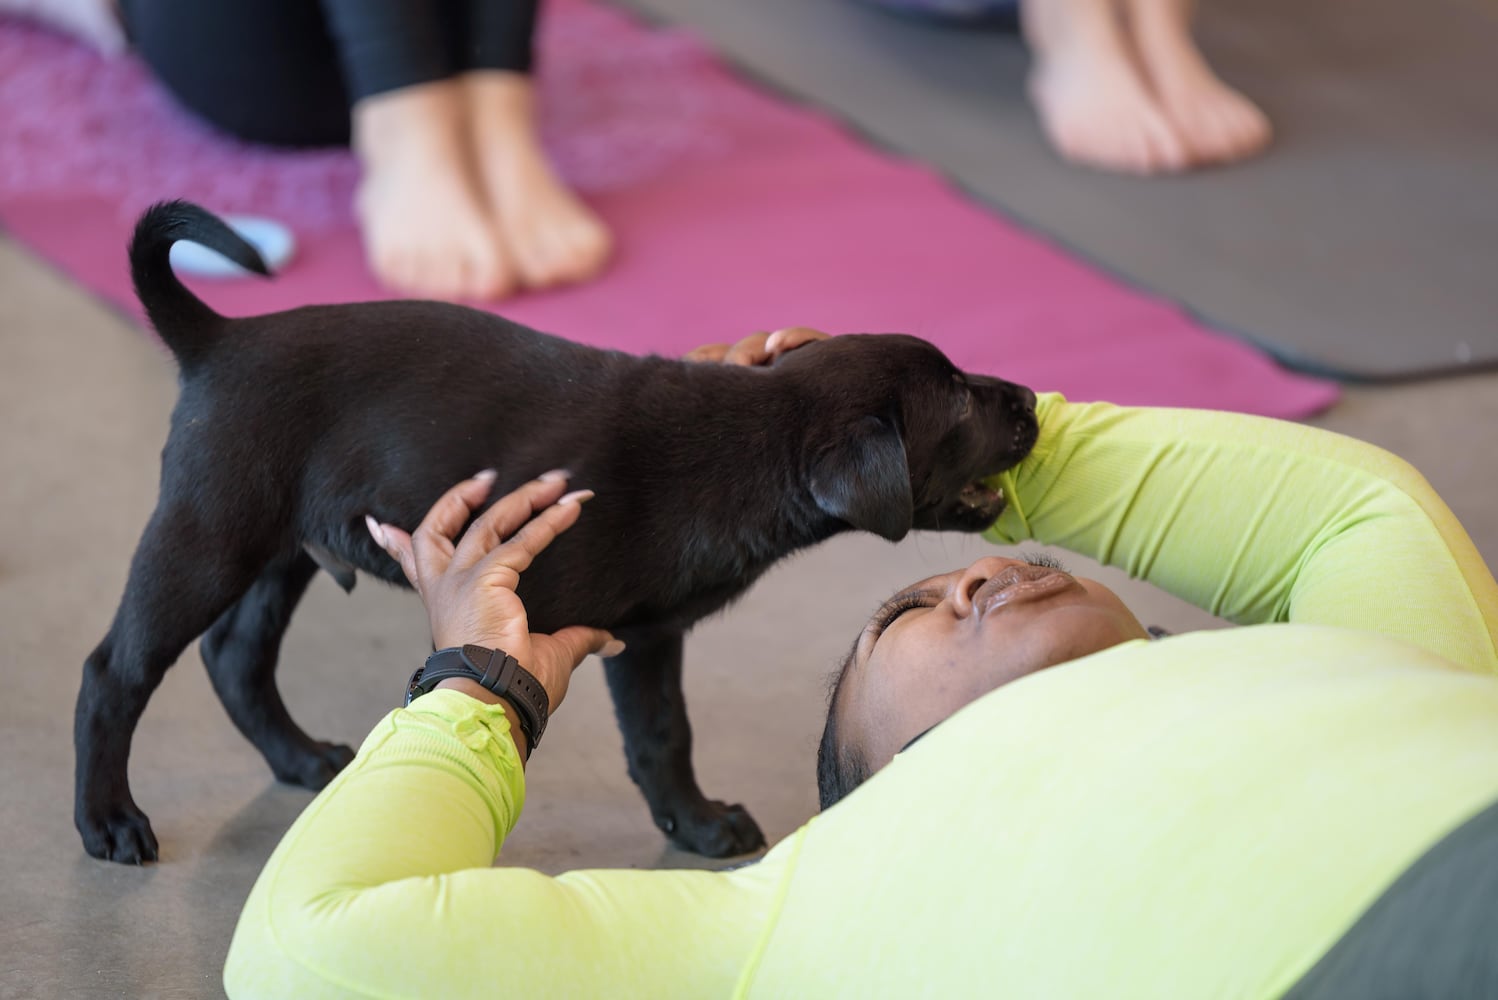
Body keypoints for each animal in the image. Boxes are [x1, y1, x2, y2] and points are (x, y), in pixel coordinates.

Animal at [76, 200, 1042, 862]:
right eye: (958, 401)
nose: (1032, 398)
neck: (747, 442)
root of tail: (217, 338)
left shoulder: (651, 637)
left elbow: (664, 734)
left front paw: (692, 824)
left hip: (287, 546)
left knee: (236, 657)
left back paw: (300, 756)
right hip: (209, 530)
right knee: (115, 671)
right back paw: (109, 820)